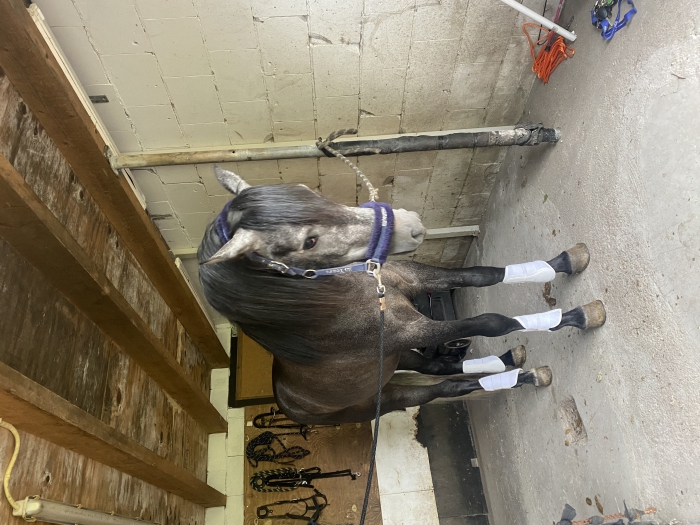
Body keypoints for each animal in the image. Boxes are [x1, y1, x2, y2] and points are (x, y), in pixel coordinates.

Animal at [198, 166, 606, 425]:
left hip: (395, 359)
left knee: (437, 367)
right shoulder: (413, 330)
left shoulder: (414, 281)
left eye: (308, 190)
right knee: (445, 385)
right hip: (391, 392)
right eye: (308, 242)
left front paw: (564, 262)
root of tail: (288, 407)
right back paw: (526, 376)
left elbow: (482, 275)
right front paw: (576, 317)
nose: (413, 227)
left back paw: (508, 359)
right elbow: (491, 321)